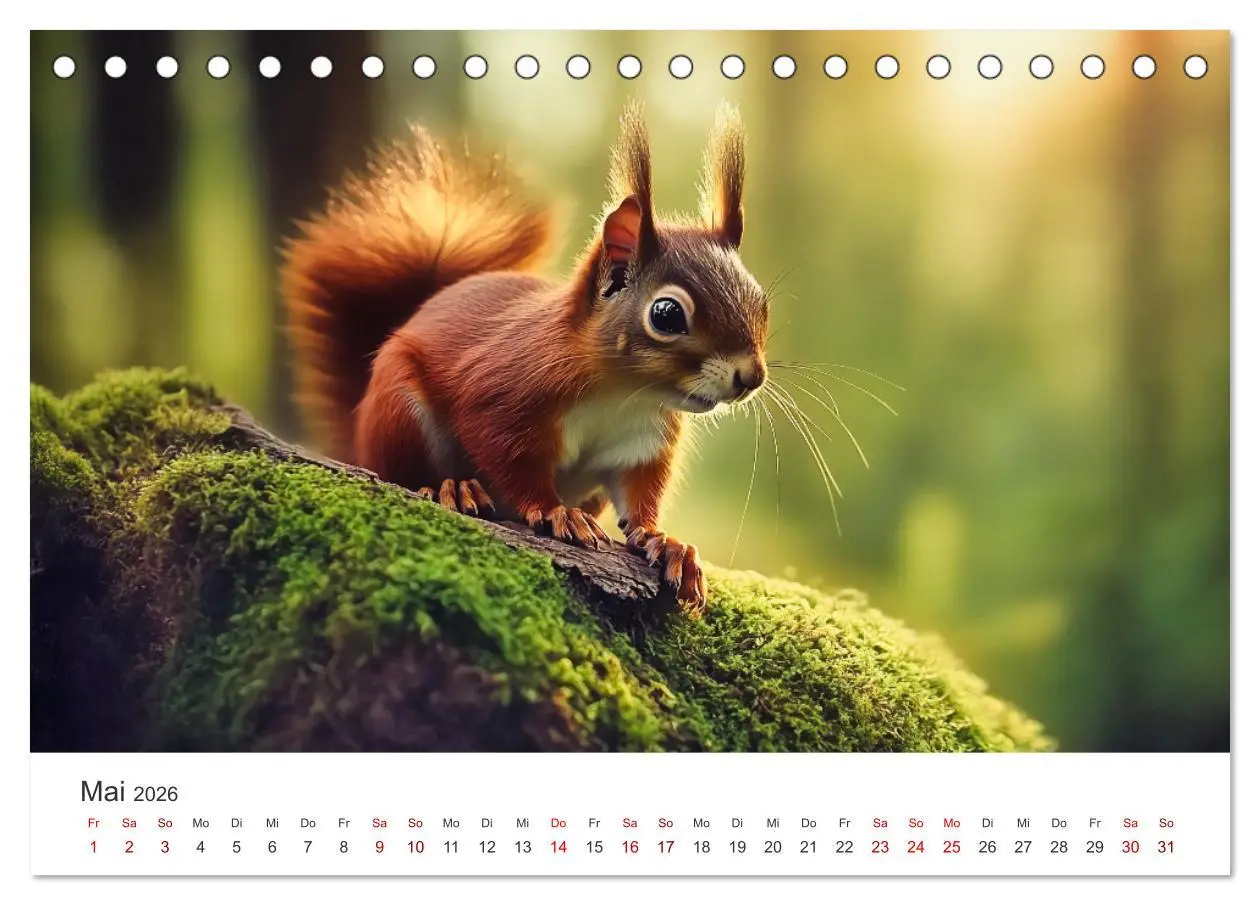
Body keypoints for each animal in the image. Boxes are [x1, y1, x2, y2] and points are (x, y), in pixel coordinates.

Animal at [280, 102, 769, 615]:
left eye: (761, 301)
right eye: (667, 314)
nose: (751, 376)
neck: (622, 393)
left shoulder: (643, 440)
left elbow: (639, 496)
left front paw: (665, 542)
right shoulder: (504, 393)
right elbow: (511, 459)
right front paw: (555, 512)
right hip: (398, 411)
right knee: (402, 472)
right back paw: (449, 487)